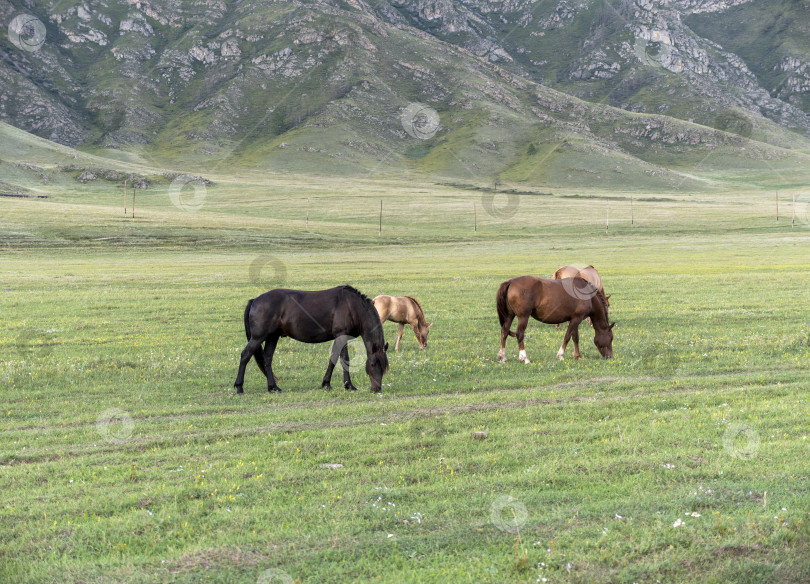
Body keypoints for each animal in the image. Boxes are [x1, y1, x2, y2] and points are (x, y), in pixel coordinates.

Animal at [234, 286, 388, 394]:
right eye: (373, 364)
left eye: (384, 367)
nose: (376, 389)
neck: (352, 306)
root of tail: (255, 300)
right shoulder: (342, 336)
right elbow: (344, 360)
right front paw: (349, 385)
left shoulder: (338, 338)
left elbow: (333, 359)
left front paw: (326, 383)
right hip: (258, 338)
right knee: (245, 355)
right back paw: (239, 387)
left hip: (272, 337)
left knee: (267, 359)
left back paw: (273, 387)